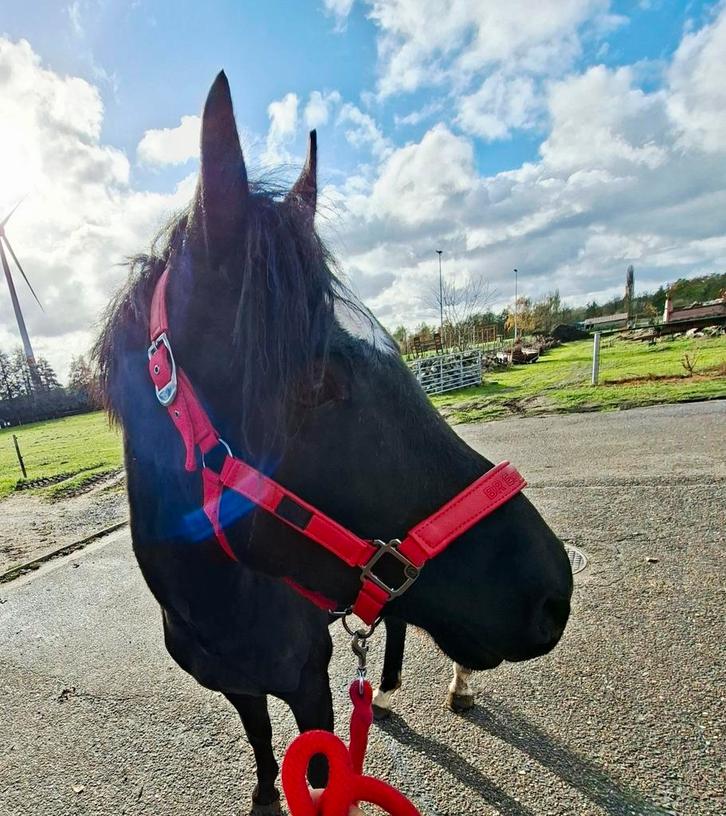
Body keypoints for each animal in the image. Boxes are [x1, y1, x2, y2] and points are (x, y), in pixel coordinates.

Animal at [94, 71, 573, 815]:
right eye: (318, 382)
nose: (555, 591)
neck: (218, 606)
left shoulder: (309, 686)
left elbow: (319, 772)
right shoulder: (239, 688)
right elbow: (261, 740)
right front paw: (266, 793)